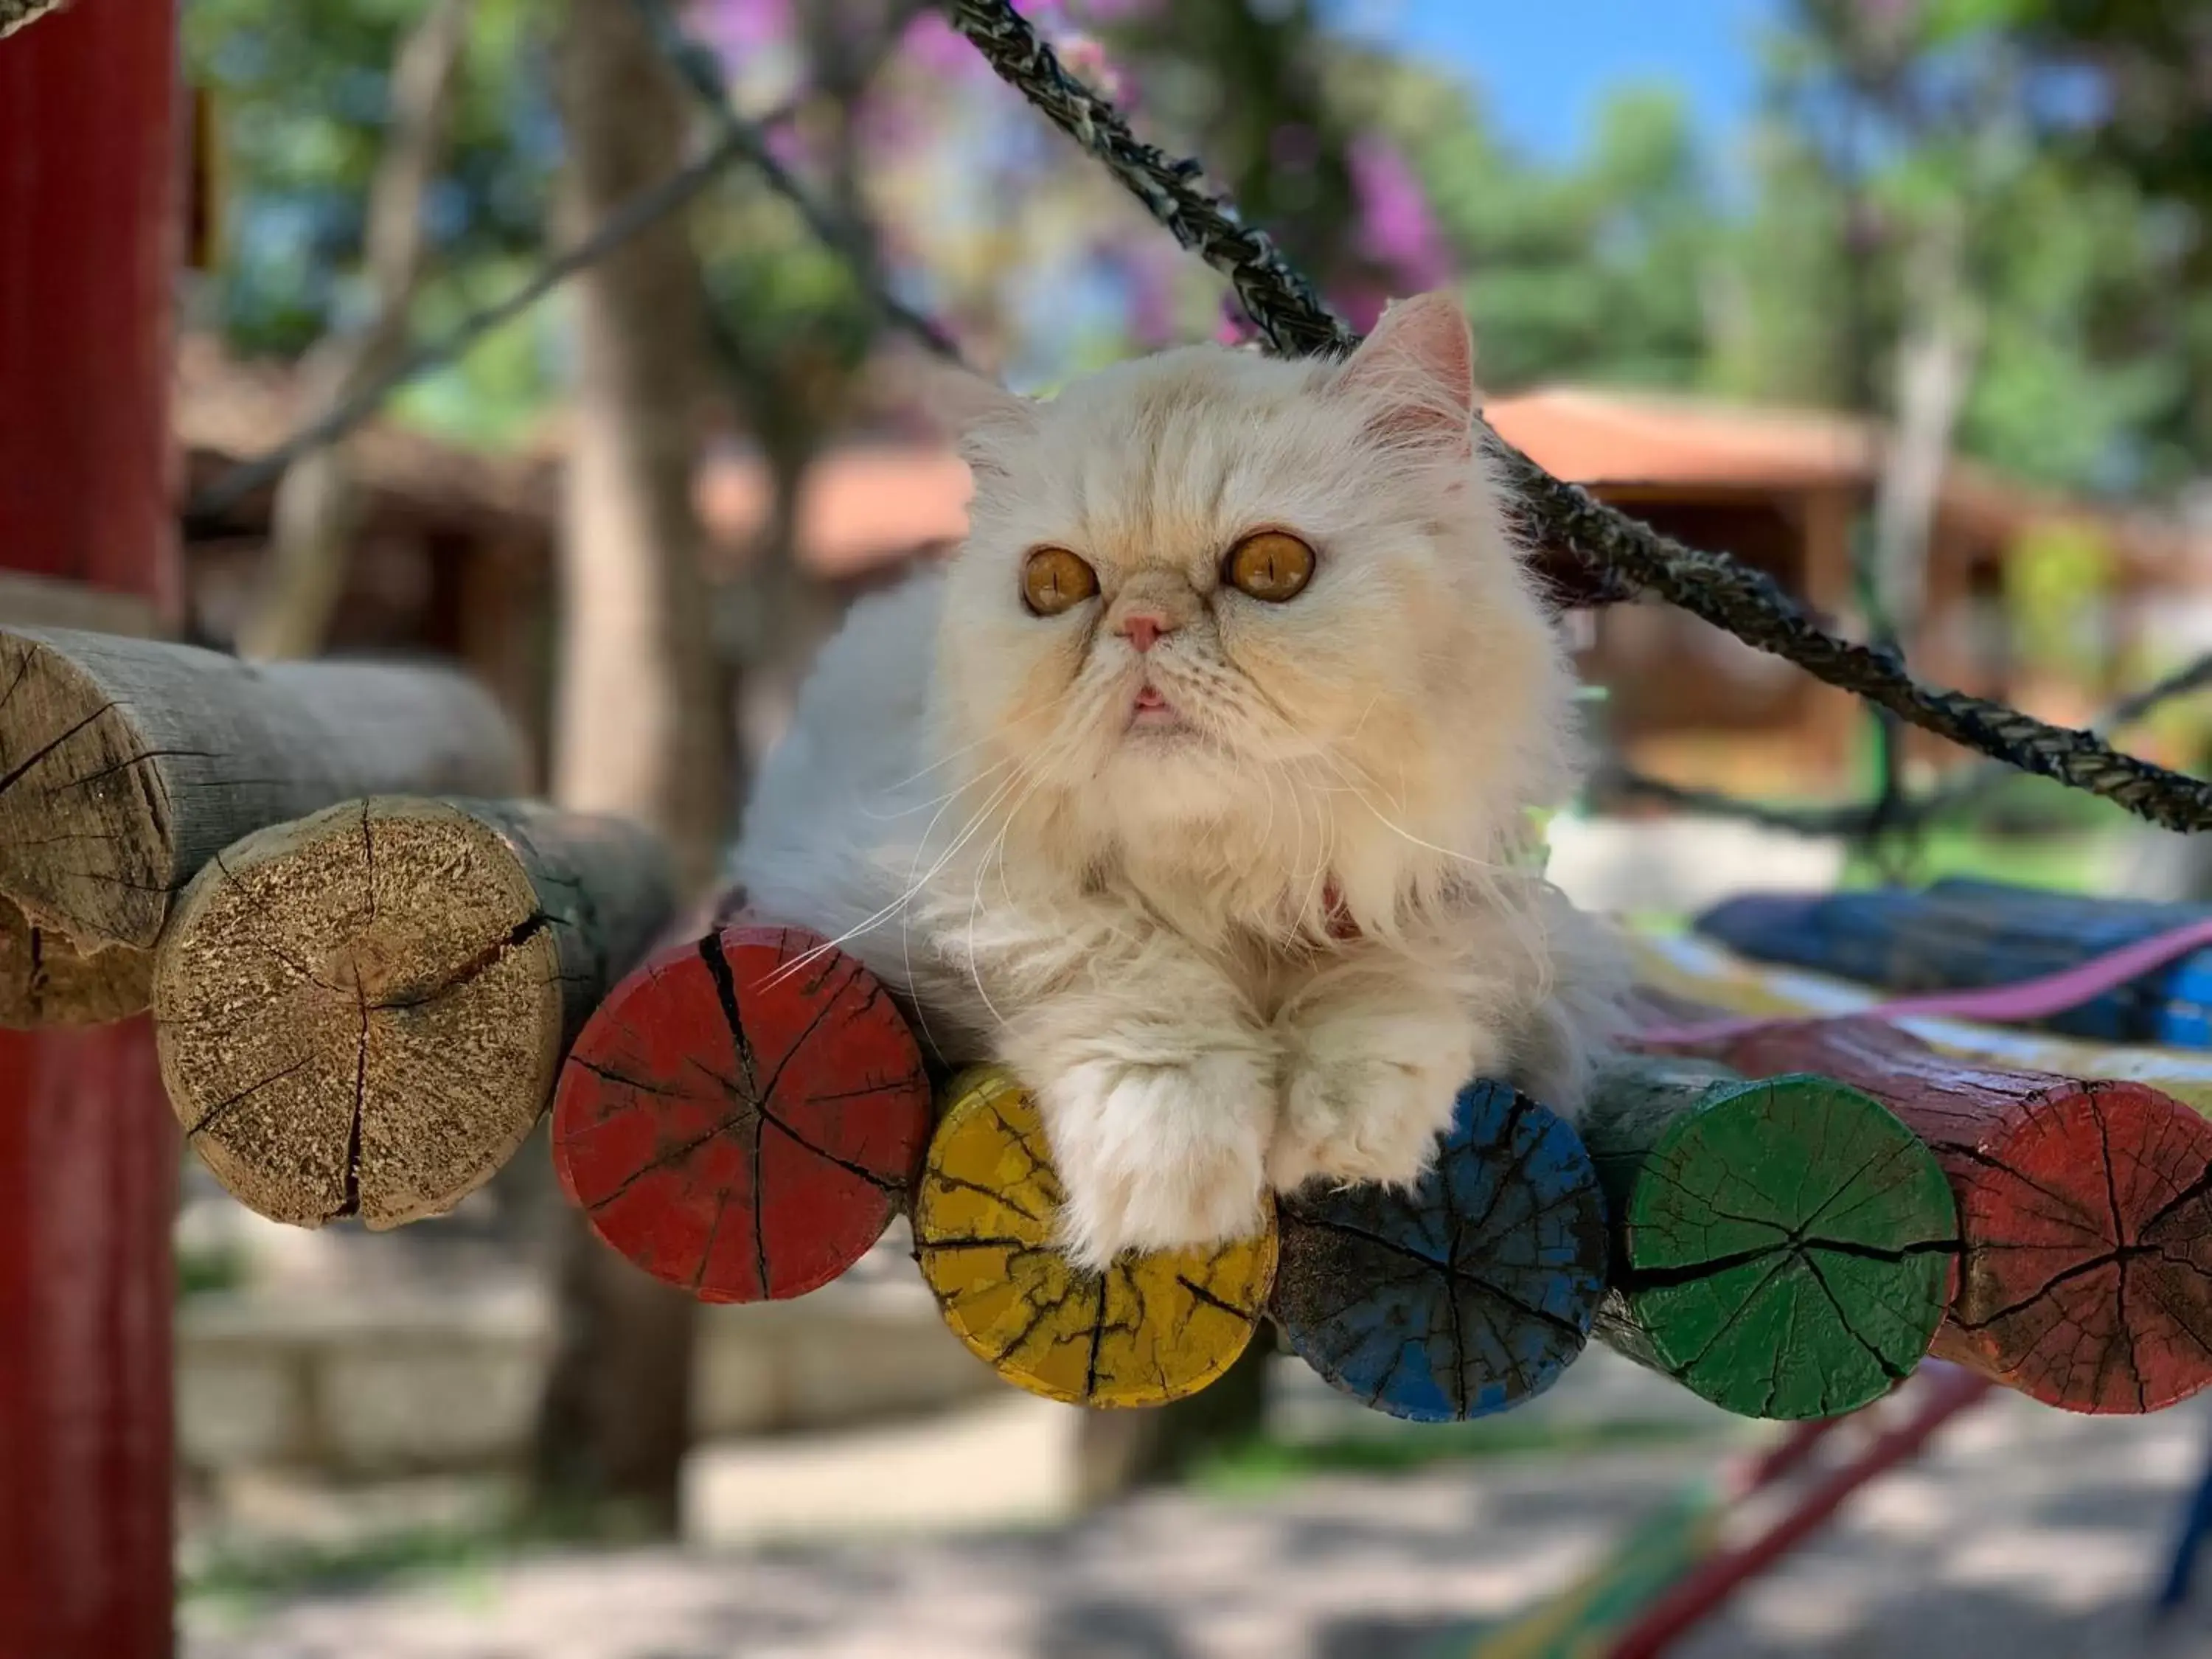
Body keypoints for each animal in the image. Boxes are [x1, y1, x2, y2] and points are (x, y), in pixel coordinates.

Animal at [734, 292, 1619, 1265]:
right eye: (1055, 584)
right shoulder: (904, 888)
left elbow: (1400, 965)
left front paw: (1348, 1126)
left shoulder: (1505, 914)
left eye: (1270, 569)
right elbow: (1121, 966)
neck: (1228, 890)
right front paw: (1172, 1166)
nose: (1144, 624)